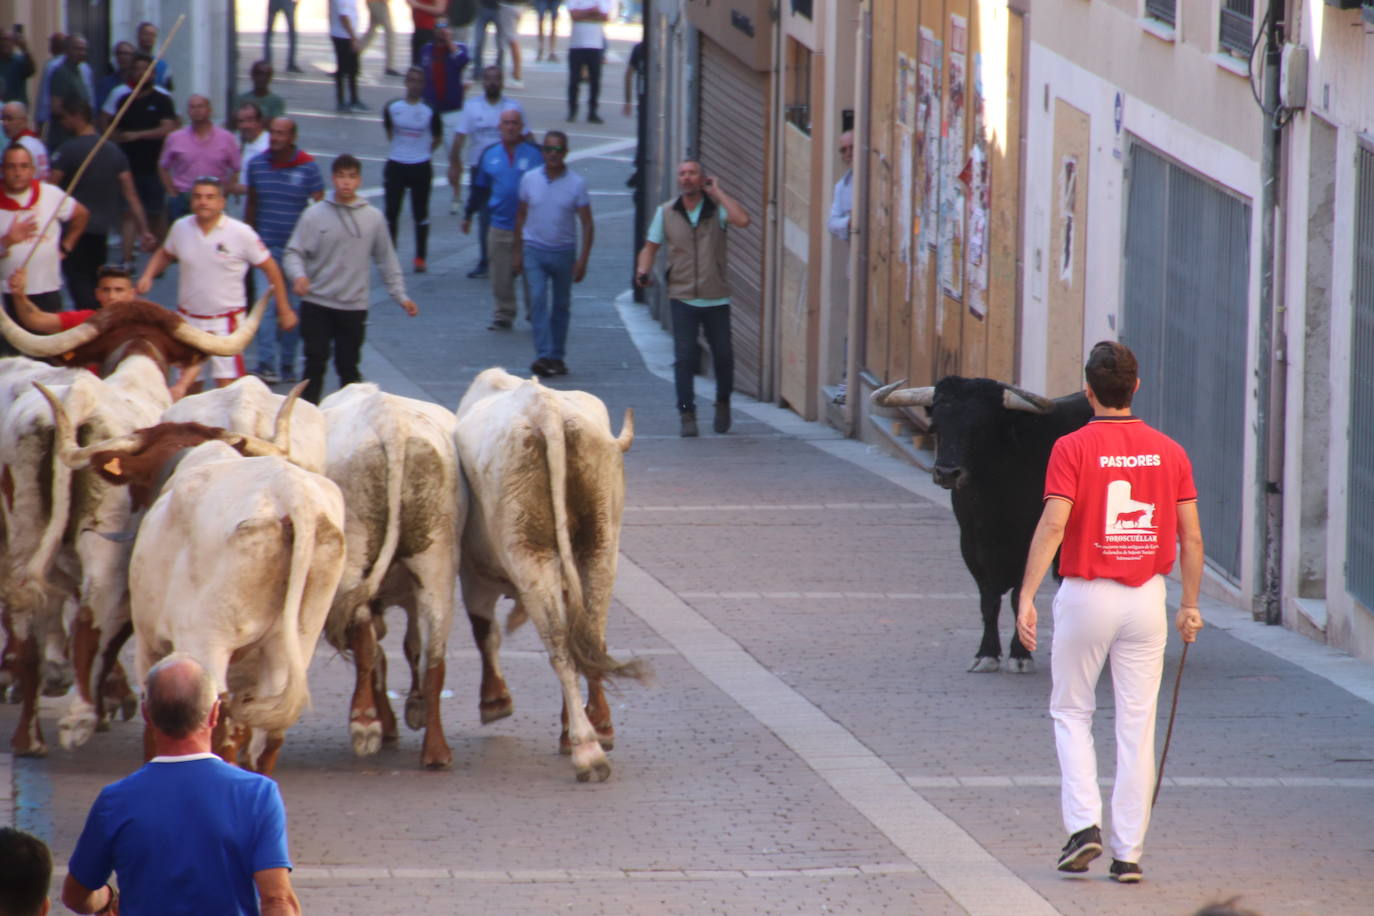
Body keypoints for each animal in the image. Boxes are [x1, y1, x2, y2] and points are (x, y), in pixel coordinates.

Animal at [873, 373, 1088, 672]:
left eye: (980, 427)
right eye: (937, 425)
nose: (947, 473)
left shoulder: (1030, 543)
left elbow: (1019, 596)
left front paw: (1020, 654)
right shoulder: (971, 545)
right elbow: (988, 601)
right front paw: (986, 653)